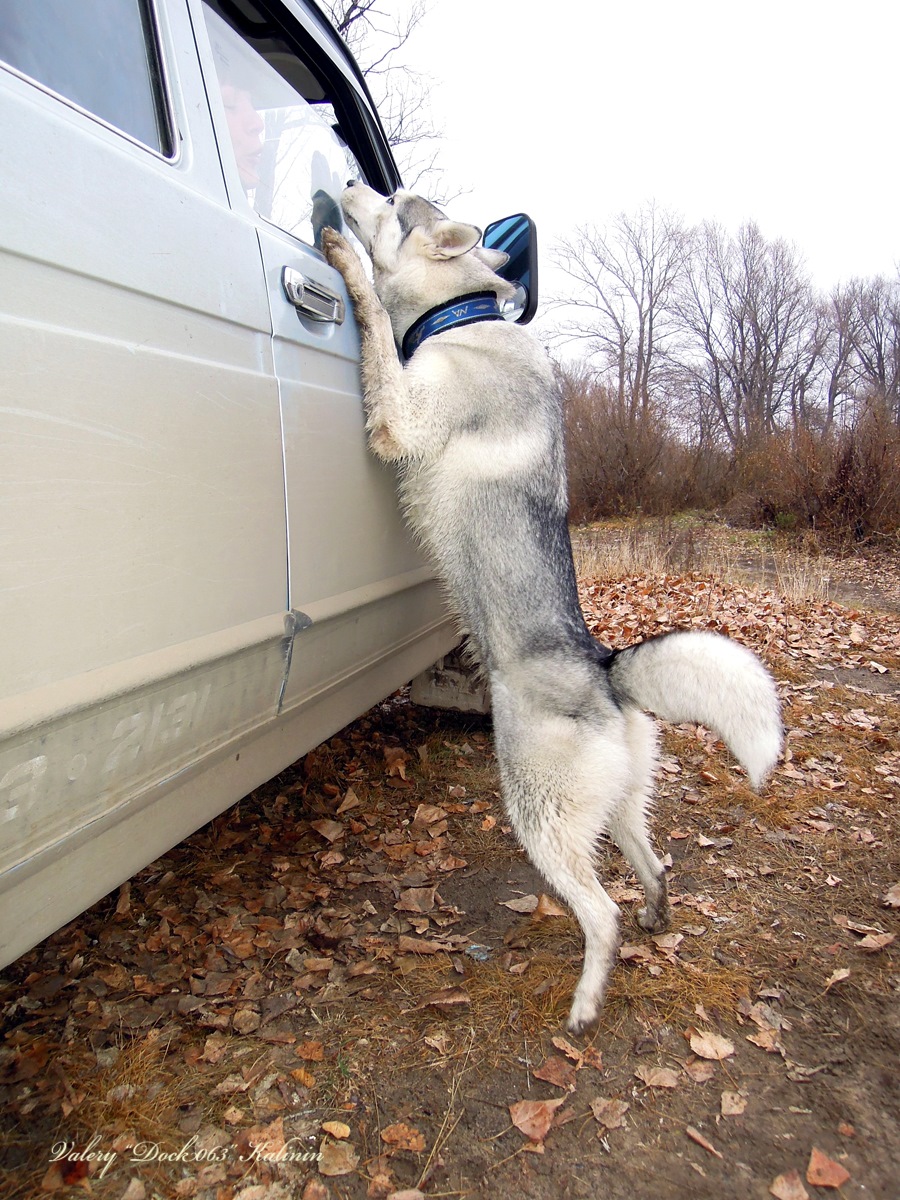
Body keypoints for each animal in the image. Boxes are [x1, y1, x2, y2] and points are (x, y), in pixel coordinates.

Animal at [321, 184, 782, 1032]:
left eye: (395, 204)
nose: (348, 186)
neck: (460, 316)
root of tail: (605, 665)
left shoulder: (401, 414)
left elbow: (371, 318)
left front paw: (346, 261)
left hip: (538, 813)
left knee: (601, 912)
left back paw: (587, 1000)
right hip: (619, 803)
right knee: (651, 861)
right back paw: (658, 916)